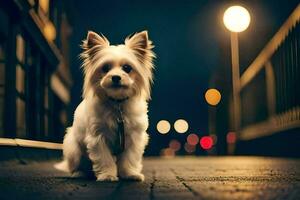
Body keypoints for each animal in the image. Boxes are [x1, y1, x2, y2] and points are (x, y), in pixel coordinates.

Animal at [54, 30, 156, 181]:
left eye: (127, 68)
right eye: (105, 68)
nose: (115, 77)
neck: (117, 104)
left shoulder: (133, 139)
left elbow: (129, 159)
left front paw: (130, 174)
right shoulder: (98, 138)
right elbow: (104, 159)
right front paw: (108, 175)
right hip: (73, 149)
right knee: (78, 165)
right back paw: (79, 173)